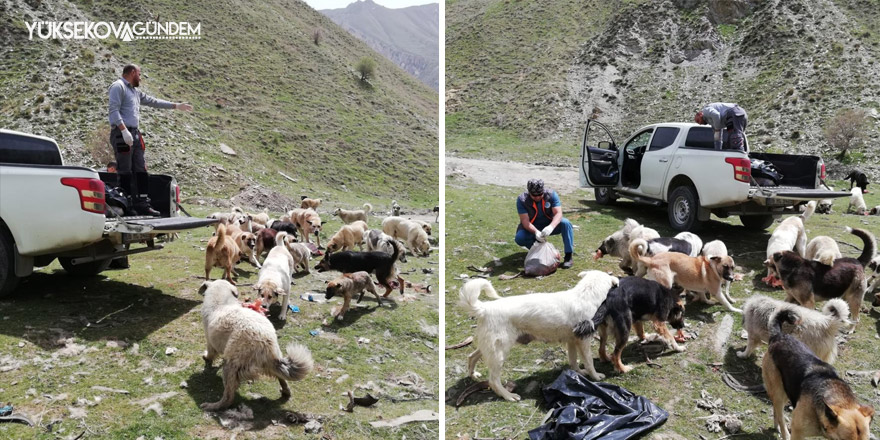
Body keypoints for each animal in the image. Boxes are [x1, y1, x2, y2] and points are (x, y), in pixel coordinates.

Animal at [197, 280, 312, 410]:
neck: (221, 300)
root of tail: (266, 342)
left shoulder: (210, 341)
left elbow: (210, 354)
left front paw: (206, 358)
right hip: (272, 361)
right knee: (282, 378)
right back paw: (285, 391)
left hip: (231, 366)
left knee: (228, 398)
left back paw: (212, 406)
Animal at [460, 270, 620, 400]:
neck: (586, 294)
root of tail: (484, 308)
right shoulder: (584, 341)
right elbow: (589, 362)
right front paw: (596, 376)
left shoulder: (572, 341)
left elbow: (573, 360)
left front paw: (579, 373)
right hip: (499, 352)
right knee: (493, 380)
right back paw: (508, 395)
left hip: (490, 348)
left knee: (471, 356)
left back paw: (473, 375)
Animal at [764, 310, 872, 440]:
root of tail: (778, 336)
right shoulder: (797, 432)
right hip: (779, 393)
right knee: (780, 414)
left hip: (787, 391)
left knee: (776, 409)